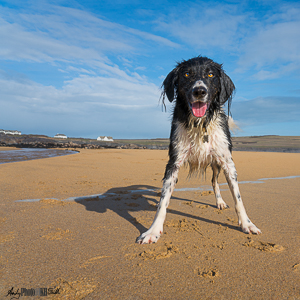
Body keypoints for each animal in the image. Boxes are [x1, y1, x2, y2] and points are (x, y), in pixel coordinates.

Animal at [136, 56, 260, 244]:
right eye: (187, 74)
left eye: (210, 74)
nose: (199, 91)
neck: (199, 123)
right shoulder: (173, 162)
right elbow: (163, 201)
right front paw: (153, 231)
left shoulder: (227, 162)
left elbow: (238, 197)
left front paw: (247, 224)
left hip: (216, 164)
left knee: (214, 182)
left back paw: (220, 202)